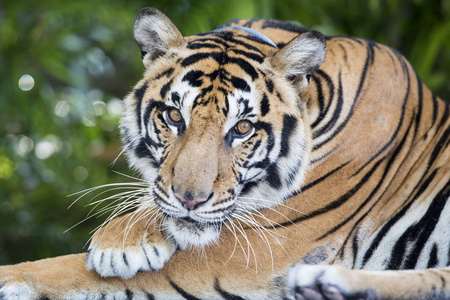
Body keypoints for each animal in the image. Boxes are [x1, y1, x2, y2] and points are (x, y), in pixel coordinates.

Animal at [0, 7, 450, 300]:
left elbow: (68, 269)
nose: (191, 200)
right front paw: (125, 239)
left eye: (243, 128)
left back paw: (327, 282)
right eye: (173, 116)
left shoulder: (260, 249)